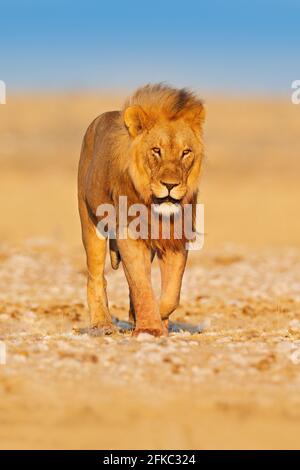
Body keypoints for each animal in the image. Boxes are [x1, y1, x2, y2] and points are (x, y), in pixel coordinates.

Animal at [77, 82, 205, 336]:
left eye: (185, 152)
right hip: (90, 223)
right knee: (95, 277)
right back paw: (102, 324)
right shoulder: (128, 233)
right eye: (156, 150)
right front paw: (150, 328)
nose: (170, 185)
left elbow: (171, 294)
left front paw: (153, 319)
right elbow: (142, 286)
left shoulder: (176, 237)